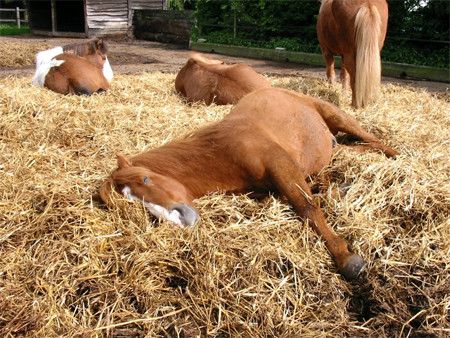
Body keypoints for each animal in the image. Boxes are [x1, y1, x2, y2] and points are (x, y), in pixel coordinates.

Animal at [99, 87, 398, 280]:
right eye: (133, 204)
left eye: (145, 178)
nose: (180, 219)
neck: (222, 150)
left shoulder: (282, 165)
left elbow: (307, 207)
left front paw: (346, 258)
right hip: (332, 145)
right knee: (351, 150)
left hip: (337, 116)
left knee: (374, 140)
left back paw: (398, 157)